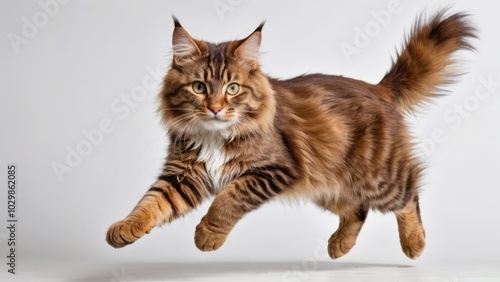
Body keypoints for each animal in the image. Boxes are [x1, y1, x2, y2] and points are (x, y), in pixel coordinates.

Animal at [106, 9, 476, 260]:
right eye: (199, 87)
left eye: (232, 88)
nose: (215, 108)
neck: (214, 136)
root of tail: (377, 87)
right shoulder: (184, 175)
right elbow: (150, 202)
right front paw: (125, 227)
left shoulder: (273, 169)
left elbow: (227, 200)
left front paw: (208, 237)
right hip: (326, 186)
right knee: (357, 210)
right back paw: (340, 246)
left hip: (377, 178)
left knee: (408, 196)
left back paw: (414, 244)